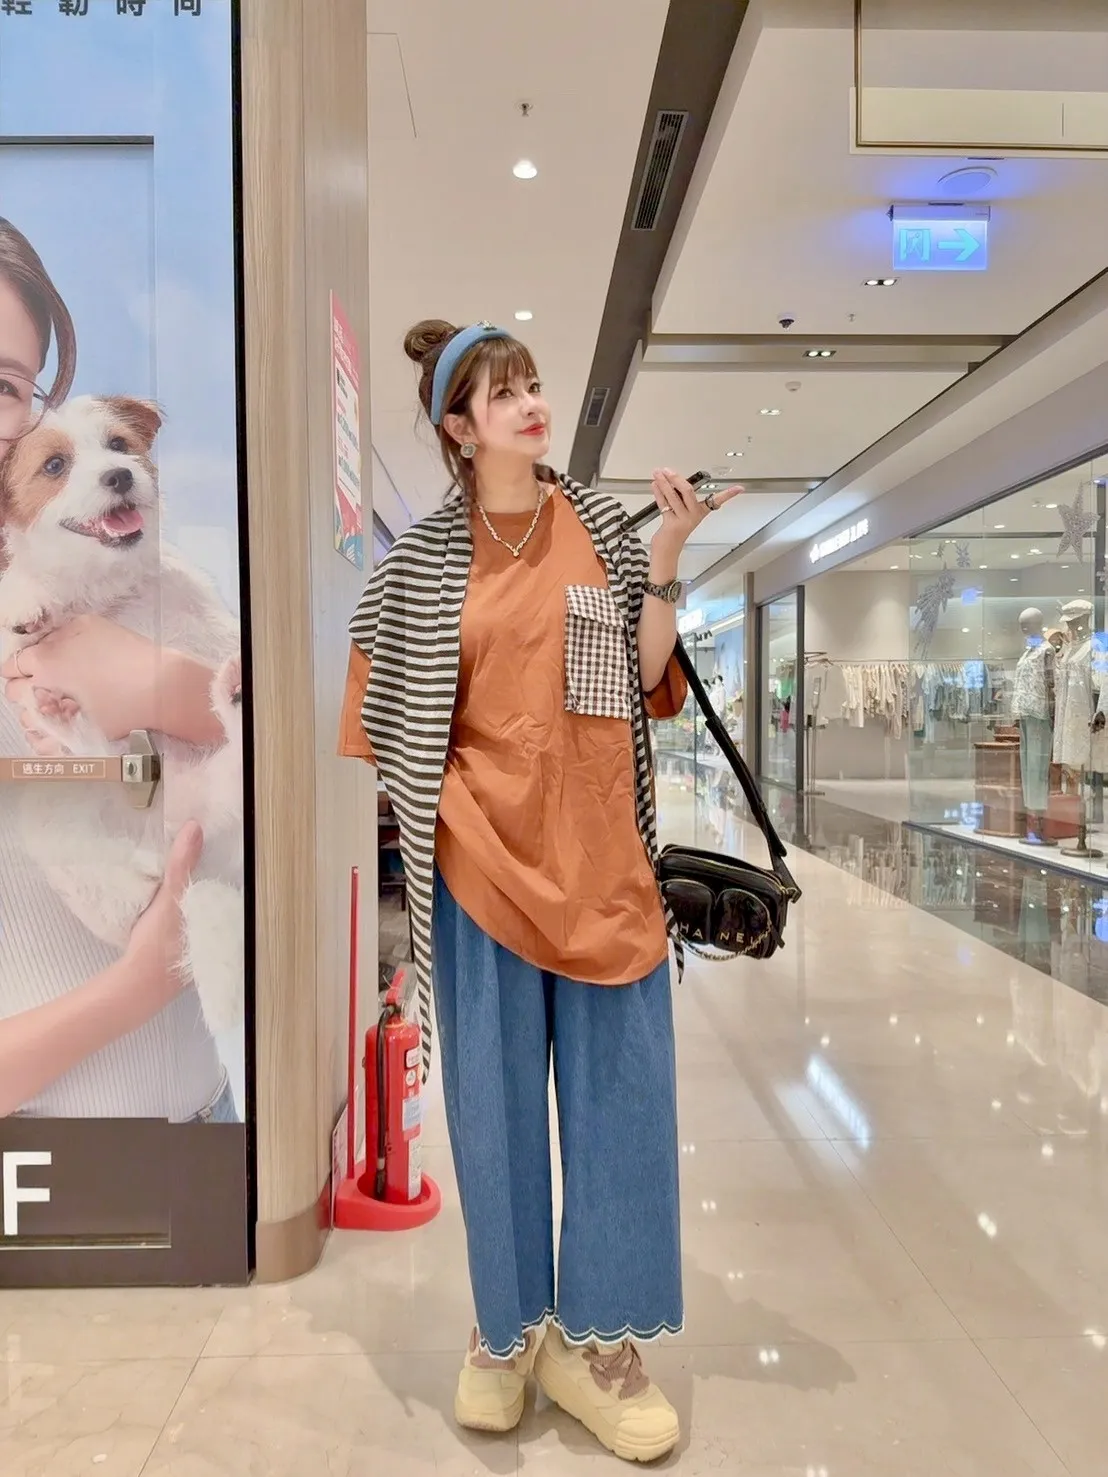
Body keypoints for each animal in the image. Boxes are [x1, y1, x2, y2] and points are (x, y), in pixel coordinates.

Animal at [0, 394, 244, 1035]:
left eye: (119, 446)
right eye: (54, 465)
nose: (119, 476)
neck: (108, 589)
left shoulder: (210, 627)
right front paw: (25, 597)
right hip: (47, 803)